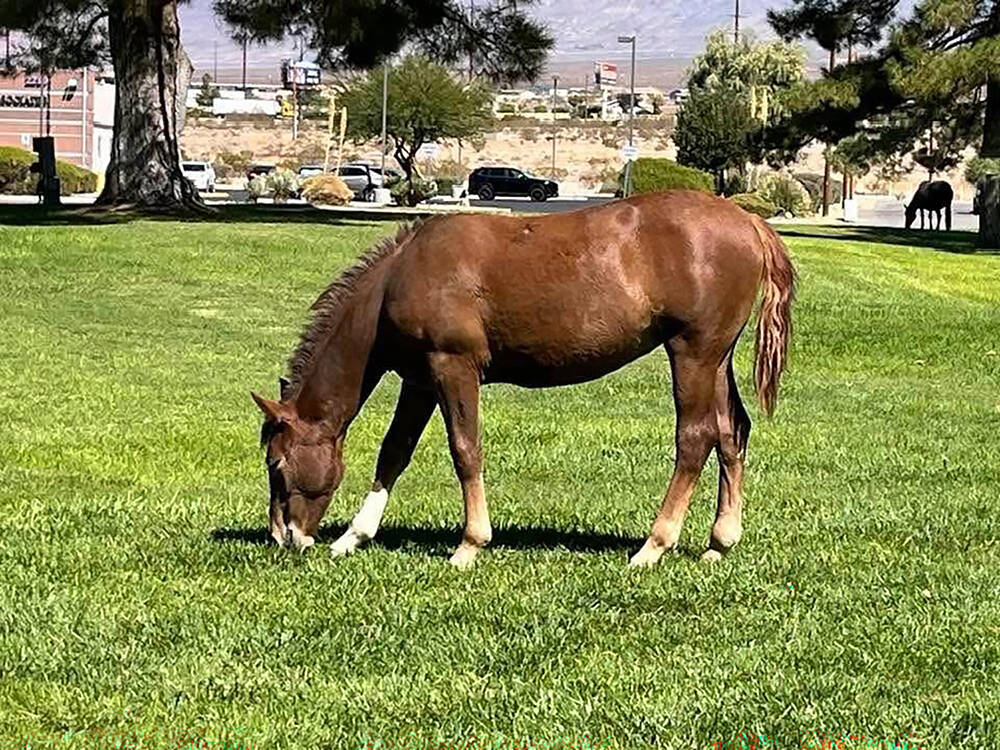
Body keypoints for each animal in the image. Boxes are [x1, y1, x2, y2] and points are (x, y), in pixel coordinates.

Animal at [252, 191, 796, 568]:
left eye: (276, 464)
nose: (284, 538)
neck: (398, 279)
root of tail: (747, 221)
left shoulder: (453, 368)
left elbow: (465, 450)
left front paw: (469, 545)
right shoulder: (420, 381)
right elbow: (394, 451)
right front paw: (353, 537)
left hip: (692, 353)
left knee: (696, 439)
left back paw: (653, 546)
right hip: (716, 358)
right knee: (732, 433)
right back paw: (719, 542)